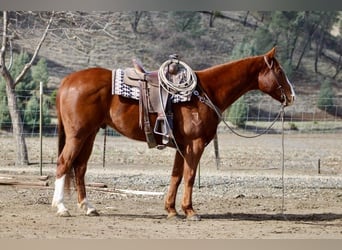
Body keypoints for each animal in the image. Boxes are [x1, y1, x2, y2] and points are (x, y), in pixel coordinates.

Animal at [52, 47, 296, 220]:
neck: (206, 91)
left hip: (90, 134)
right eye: (280, 71)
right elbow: (189, 177)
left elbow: (176, 176)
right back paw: (61, 207)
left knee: (80, 167)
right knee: (64, 163)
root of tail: (67, 80)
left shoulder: (182, 146)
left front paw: (171, 210)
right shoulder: (195, 145)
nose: (292, 96)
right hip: (77, 135)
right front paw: (190, 211)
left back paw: (88, 207)